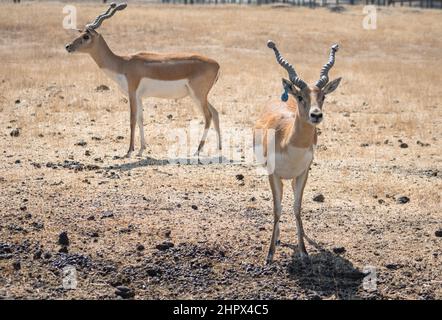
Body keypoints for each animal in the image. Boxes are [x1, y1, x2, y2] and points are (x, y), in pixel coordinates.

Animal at [65, 2, 221, 158]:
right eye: (80, 33)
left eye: (86, 36)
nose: (68, 46)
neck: (122, 64)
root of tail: (217, 64)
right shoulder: (139, 97)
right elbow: (141, 119)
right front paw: (141, 150)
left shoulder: (132, 93)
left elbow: (132, 119)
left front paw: (129, 151)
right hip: (199, 96)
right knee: (215, 112)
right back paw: (218, 148)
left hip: (198, 95)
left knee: (208, 116)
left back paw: (198, 150)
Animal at [256, 40, 342, 264]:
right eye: (301, 96)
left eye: (322, 96)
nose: (316, 115)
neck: (289, 143)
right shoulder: (273, 174)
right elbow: (277, 209)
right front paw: (269, 254)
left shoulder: (303, 173)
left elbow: (297, 207)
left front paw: (304, 251)